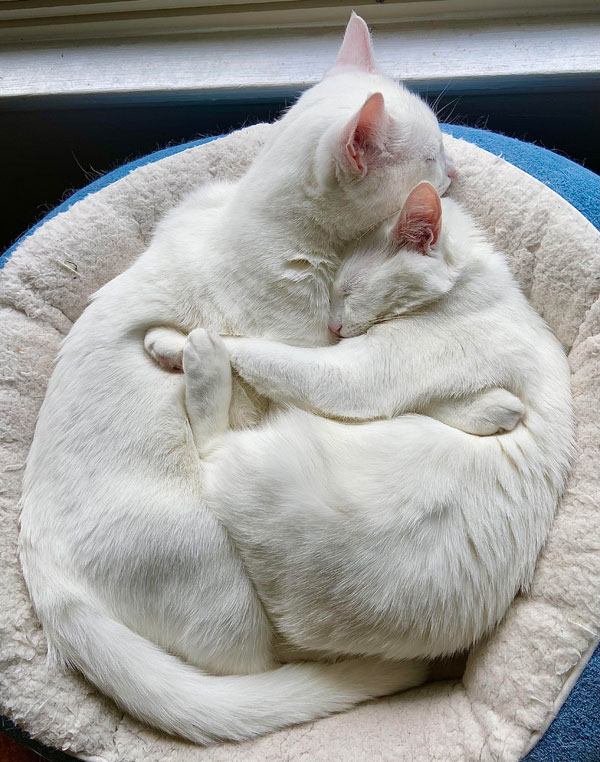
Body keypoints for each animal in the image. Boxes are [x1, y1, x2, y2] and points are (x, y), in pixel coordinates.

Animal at [16, 14, 452, 744]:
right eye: (429, 156)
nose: (454, 167)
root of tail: (50, 586)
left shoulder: (190, 208)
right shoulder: (308, 348)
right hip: (219, 579)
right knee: (257, 660)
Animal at [170, 181, 572, 668]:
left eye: (348, 290)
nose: (333, 328)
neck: (466, 287)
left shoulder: (362, 376)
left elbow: (257, 351)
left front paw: (176, 341)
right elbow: (477, 406)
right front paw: (494, 410)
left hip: (260, 465)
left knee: (210, 446)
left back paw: (201, 360)